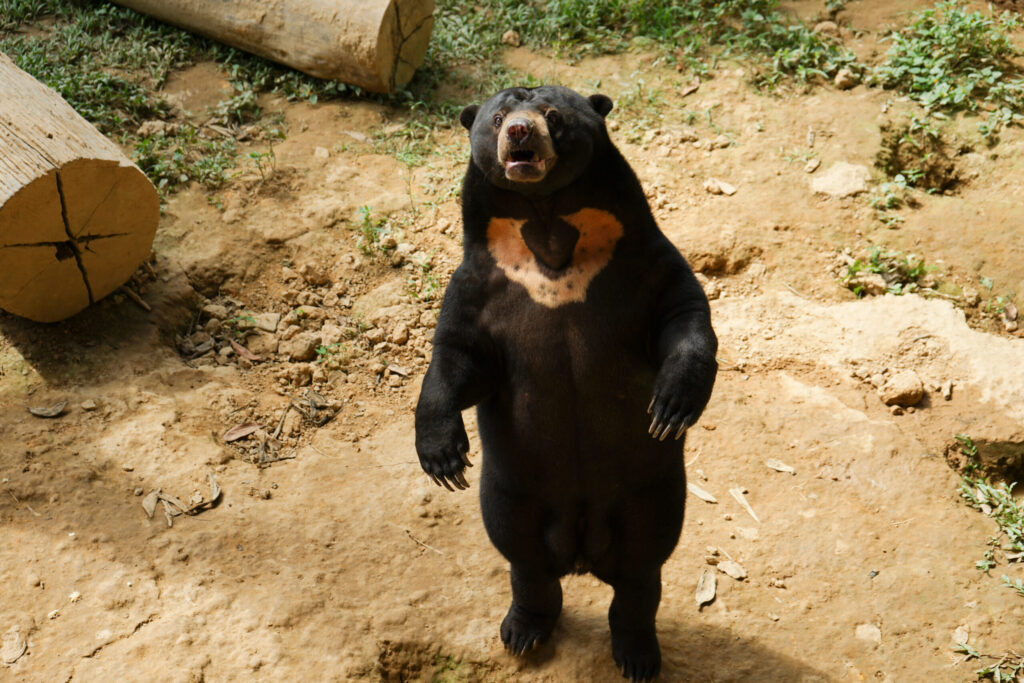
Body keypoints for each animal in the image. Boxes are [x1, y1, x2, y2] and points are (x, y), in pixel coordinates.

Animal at [415, 85, 718, 681]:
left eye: (552, 115)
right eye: (498, 118)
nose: (520, 133)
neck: (548, 226)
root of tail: (580, 550)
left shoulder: (642, 261)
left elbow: (684, 313)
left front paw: (670, 408)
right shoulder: (480, 285)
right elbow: (458, 357)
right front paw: (443, 460)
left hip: (651, 492)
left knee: (642, 570)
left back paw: (637, 654)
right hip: (512, 490)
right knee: (523, 557)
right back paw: (523, 632)